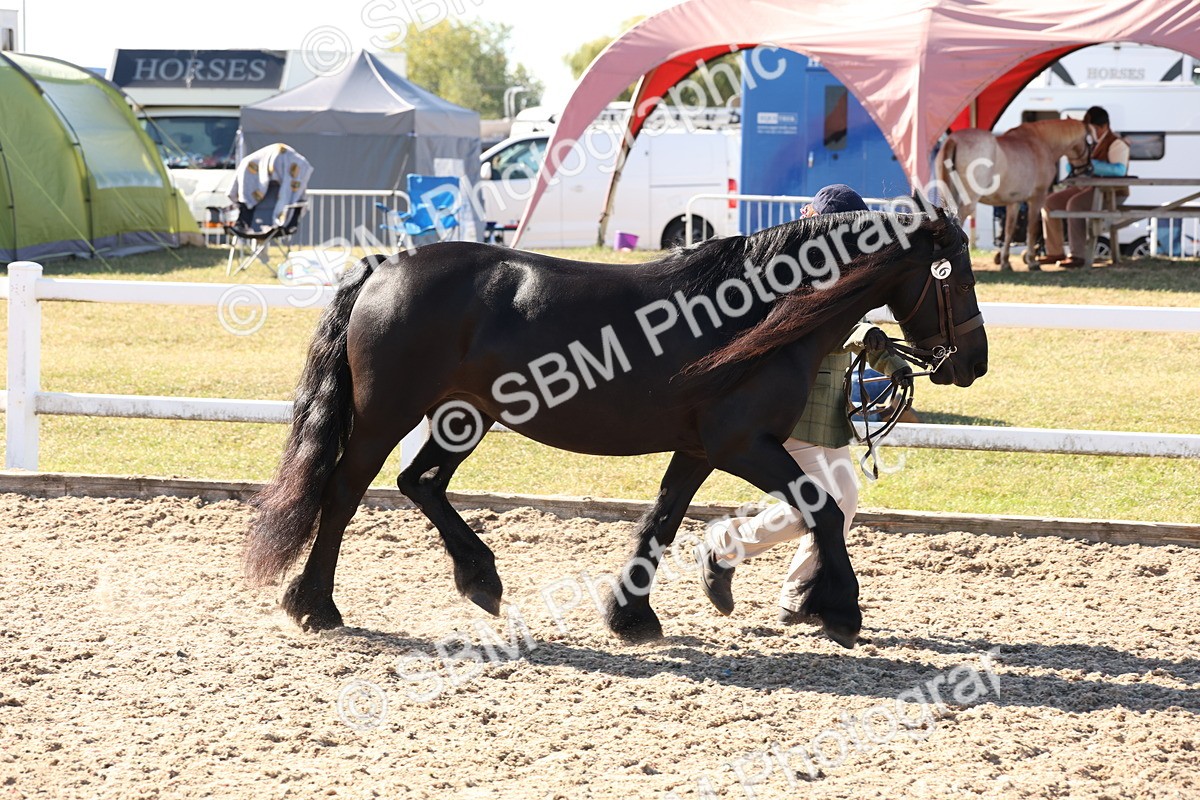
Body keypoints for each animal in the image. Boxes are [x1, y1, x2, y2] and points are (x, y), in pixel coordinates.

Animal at [244, 204, 988, 649]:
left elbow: (661, 520)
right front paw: (840, 611)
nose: (973, 362)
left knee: (419, 482)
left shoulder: (698, 448)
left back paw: (480, 579)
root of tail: (385, 267)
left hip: (466, 415)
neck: (758, 313)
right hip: (386, 416)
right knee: (344, 494)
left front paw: (631, 615)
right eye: (956, 276)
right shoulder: (743, 444)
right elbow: (825, 511)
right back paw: (315, 605)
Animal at [936, 119, 1090, 270]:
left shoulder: (1014, 202)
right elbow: (1032, 229)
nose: (1087, 169)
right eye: (1090, 143)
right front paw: (1032, 261)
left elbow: (1009, 231)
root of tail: (953, 140)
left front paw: (1005, 262)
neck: (1040, 143)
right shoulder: (1037, 198)